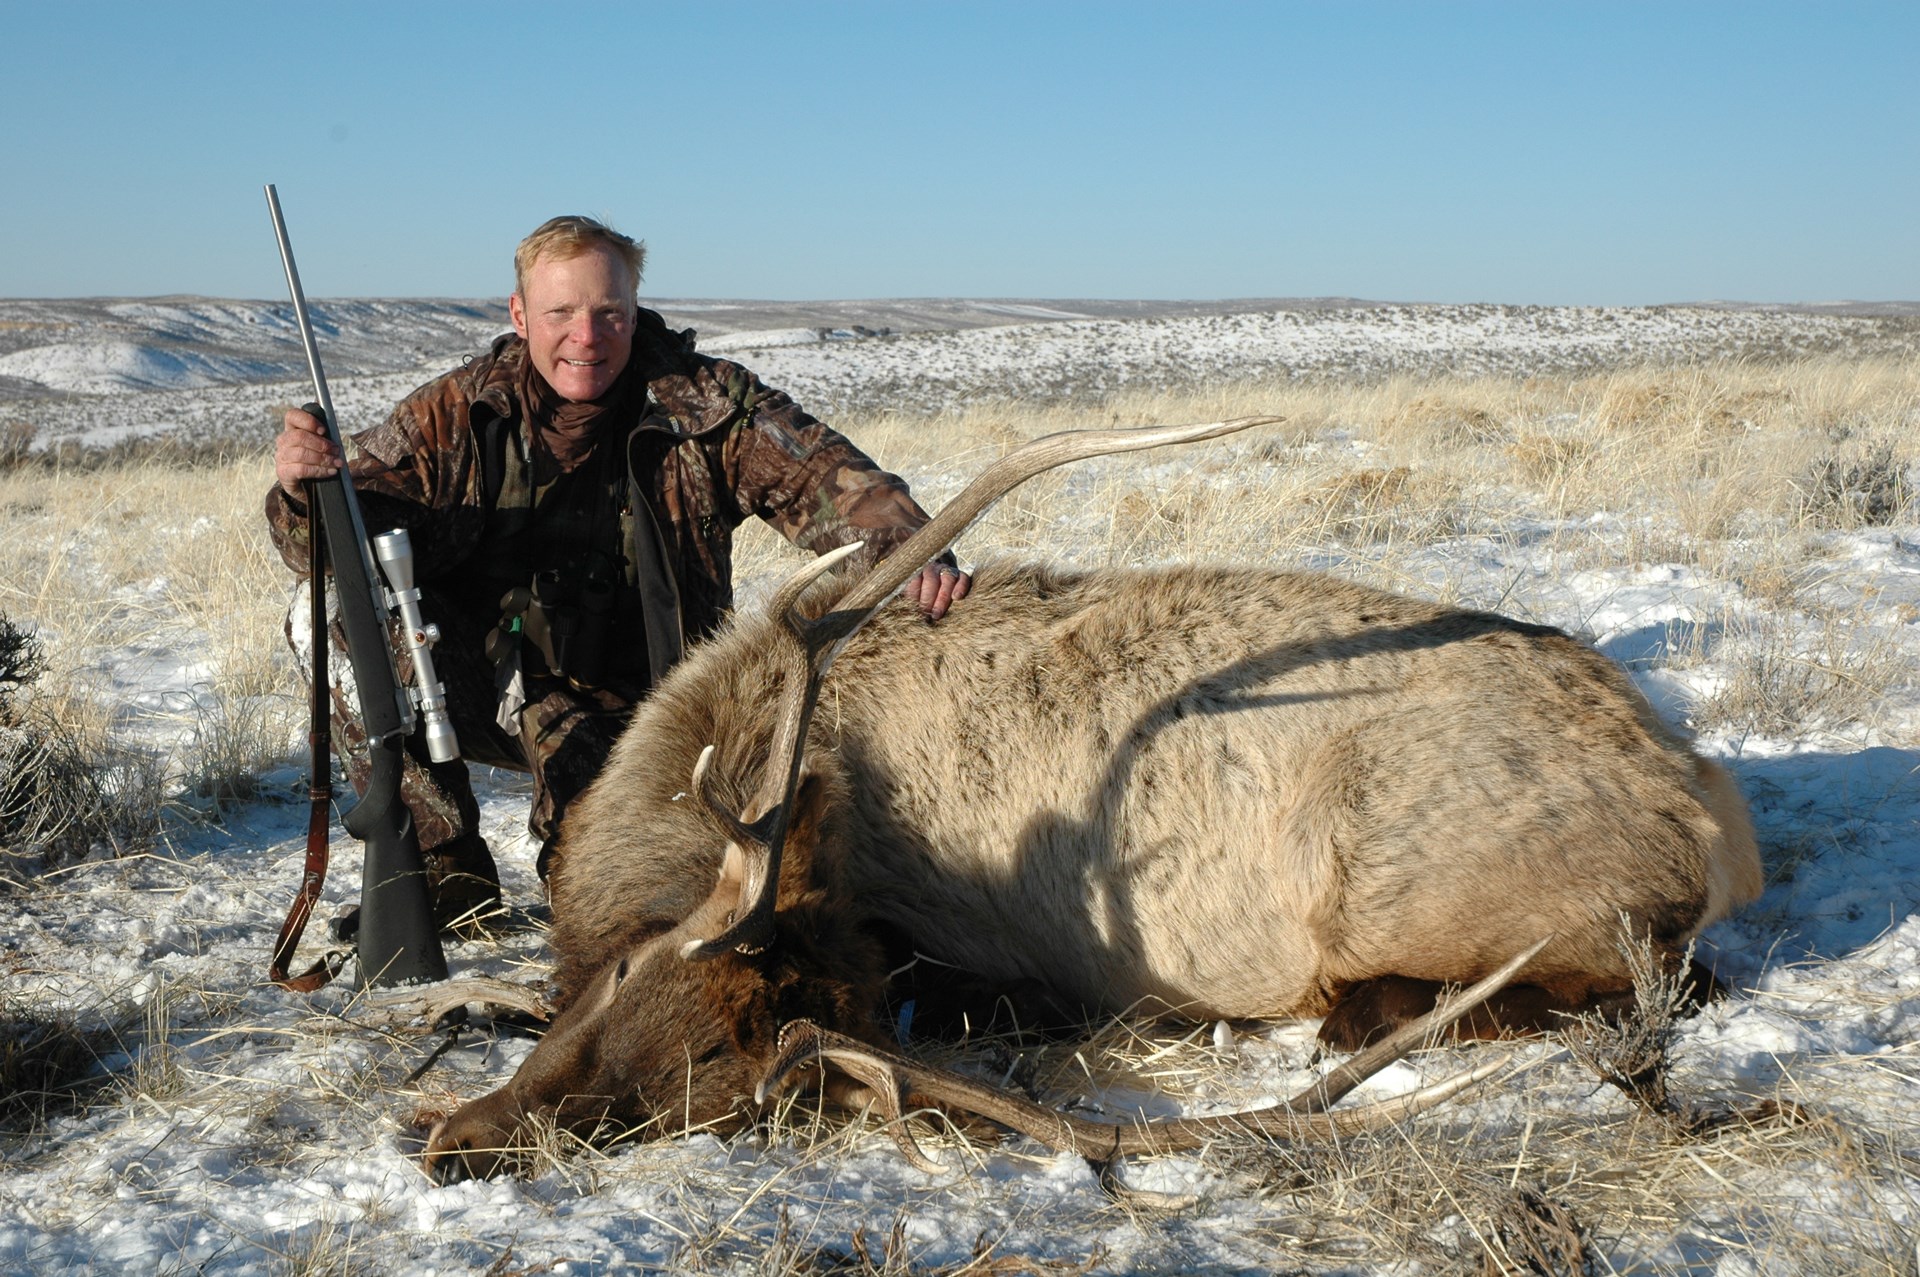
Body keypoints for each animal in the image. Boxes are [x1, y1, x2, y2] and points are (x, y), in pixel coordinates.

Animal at [428, 418, 1758, 1182]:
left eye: (722, 1078)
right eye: (619, 976)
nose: (452, 1137)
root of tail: (1700, 799)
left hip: (1416, 892)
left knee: (1633, 980)